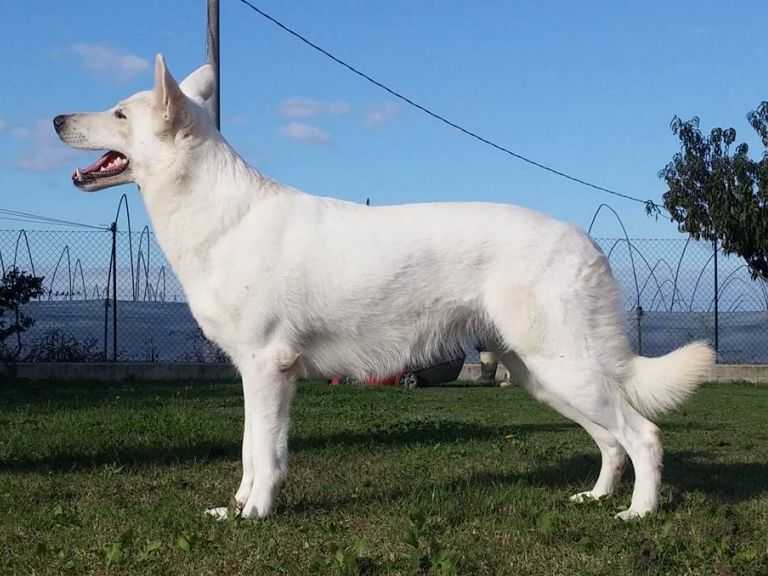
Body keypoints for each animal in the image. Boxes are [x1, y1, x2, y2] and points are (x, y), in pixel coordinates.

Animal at [57, 55, 716, 520]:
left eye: (120, 113)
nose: (56, 119)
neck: (221, 215)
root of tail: (588, 243)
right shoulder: (257, 373)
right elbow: (251, 452)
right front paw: (238, 507)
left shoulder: (268, 368)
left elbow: (263, 455)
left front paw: (256, 515)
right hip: (543, 375)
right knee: (611, 442)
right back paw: (598, 499)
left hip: (564, 369)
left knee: (644, 436)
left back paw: (638, 514)